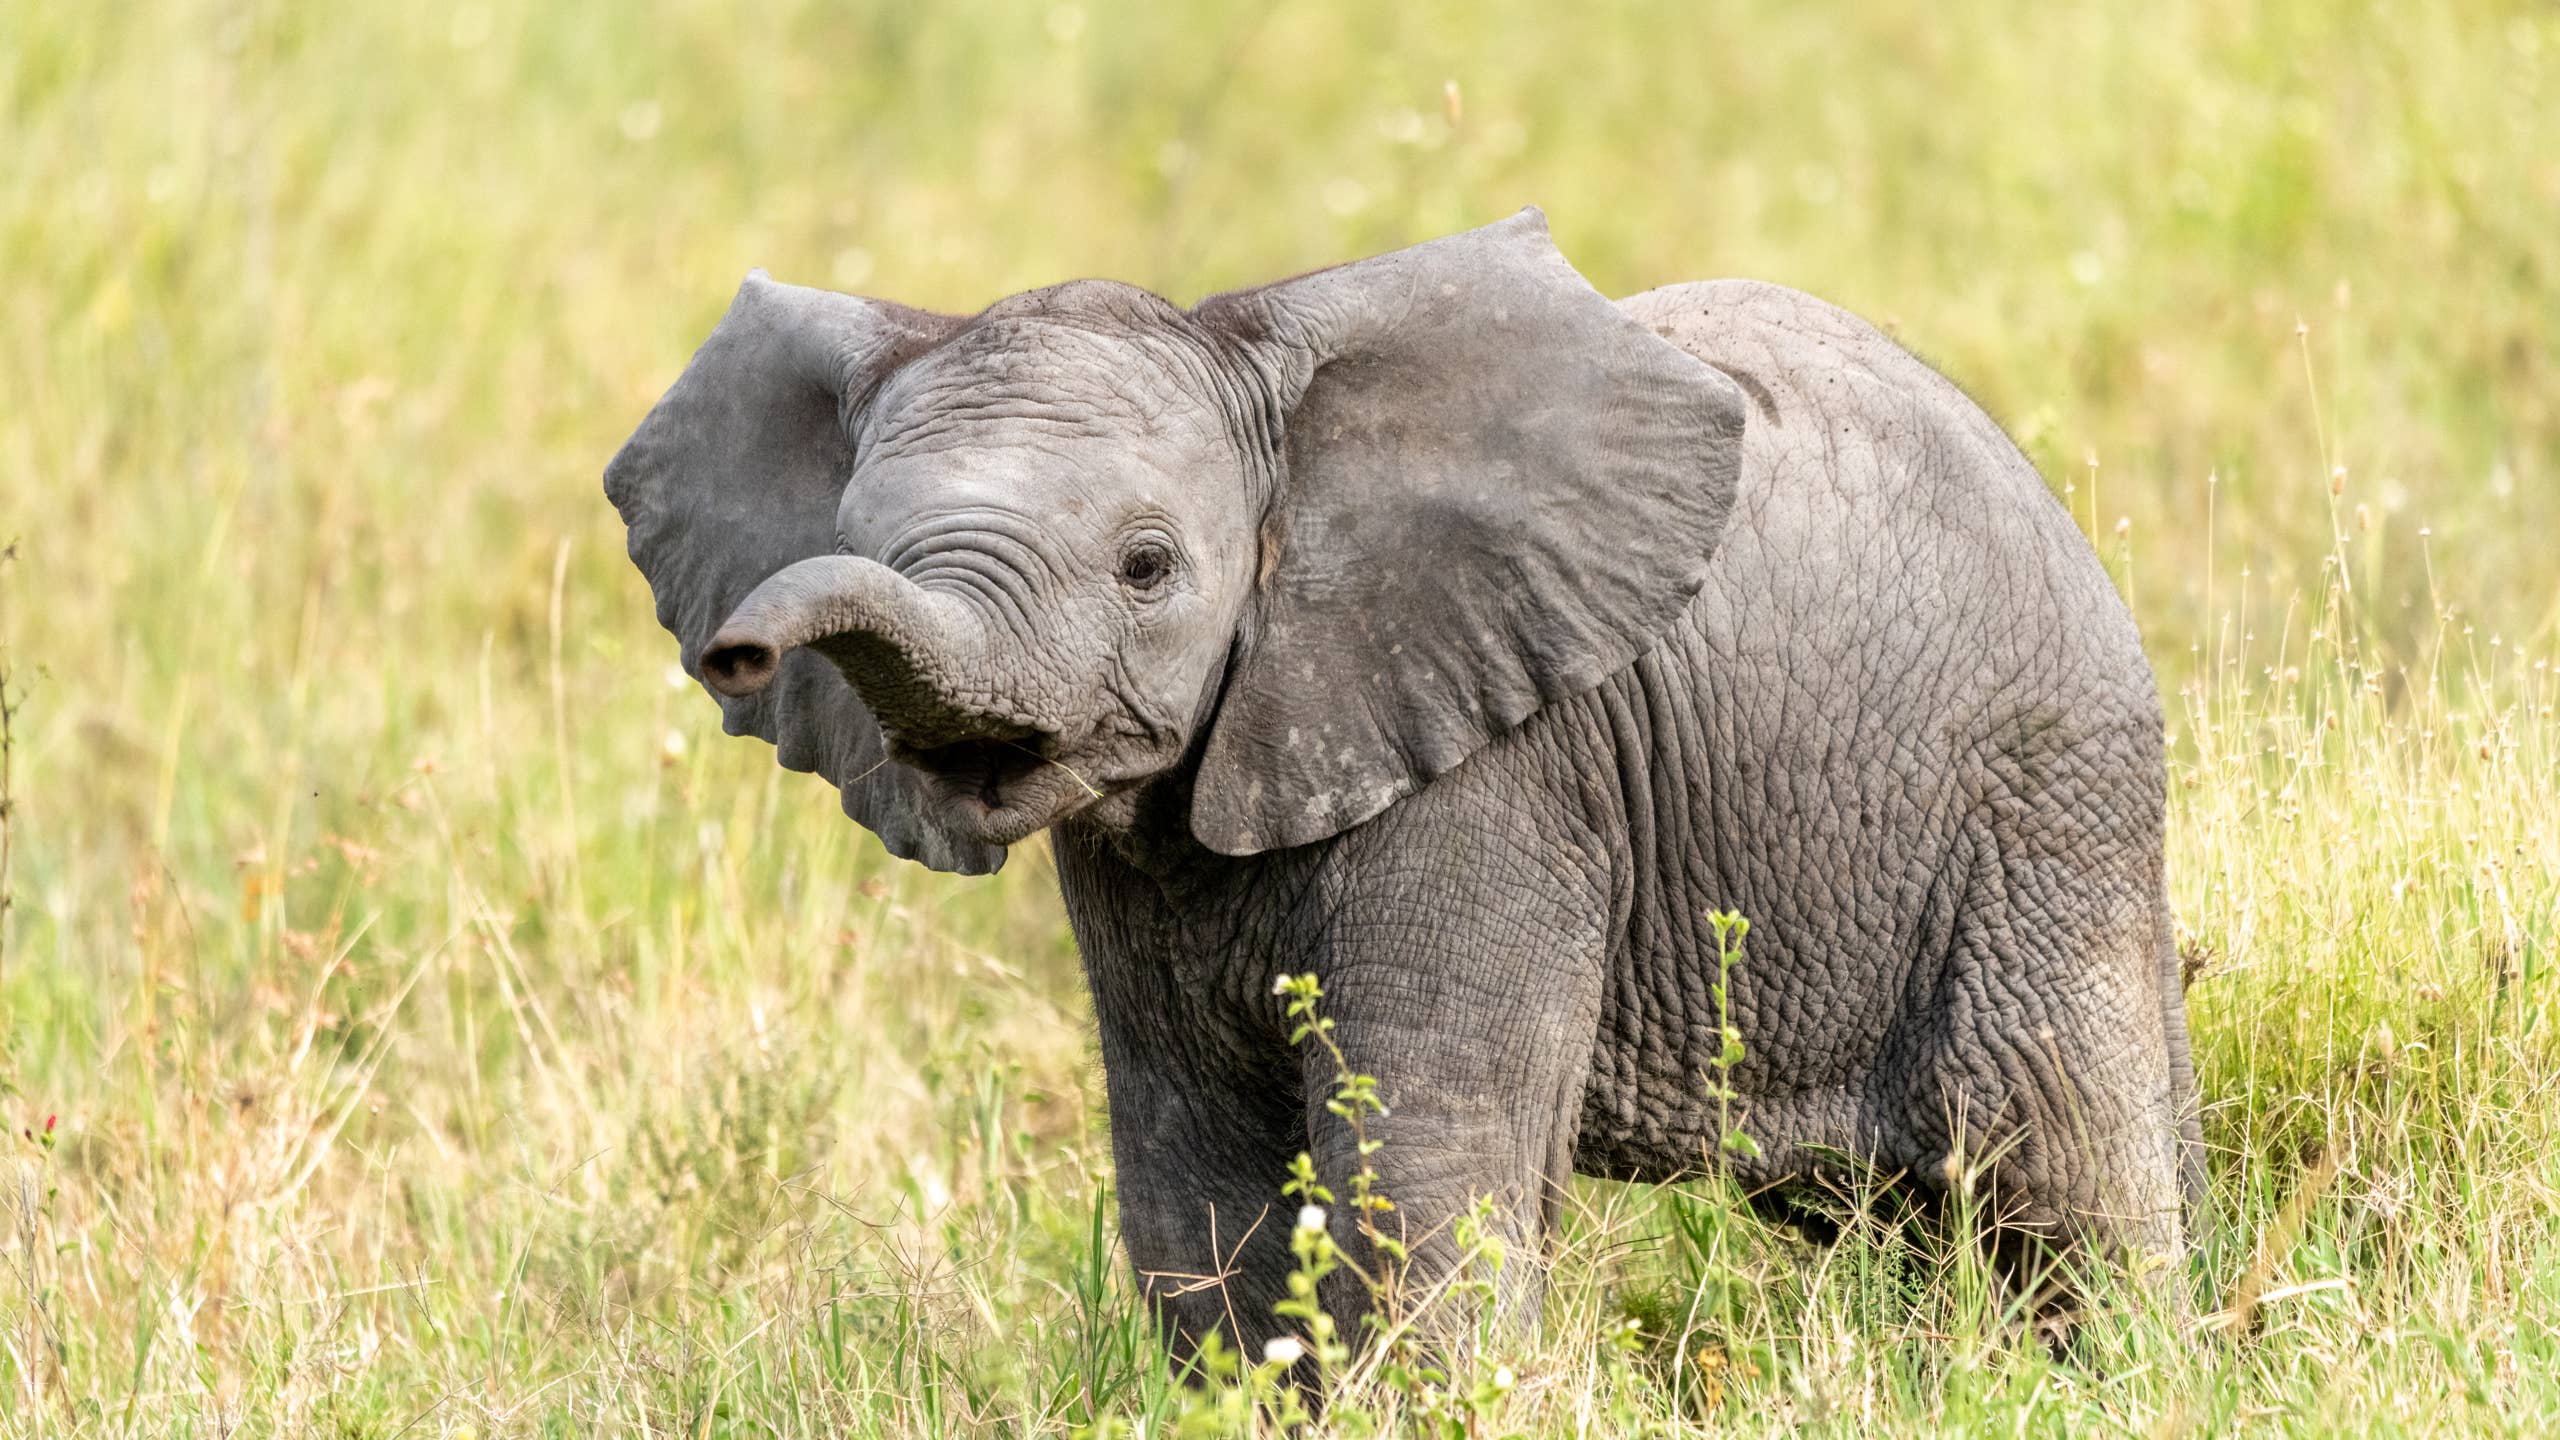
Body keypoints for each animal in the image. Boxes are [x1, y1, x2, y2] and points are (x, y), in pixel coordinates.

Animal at [604, 208, 2200, 1357]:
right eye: (858, 539)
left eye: (1147, 566)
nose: (739, 650)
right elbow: (1201, 1191)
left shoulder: (1510, 776)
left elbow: (1420, 1172)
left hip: (2042, 816)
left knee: (2060, 1182)